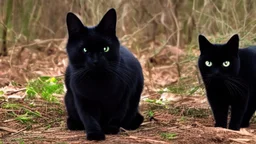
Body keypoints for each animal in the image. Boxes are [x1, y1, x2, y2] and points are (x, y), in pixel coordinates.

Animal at [63, 8, 144, 141]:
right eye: (85, 50)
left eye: (105, 49)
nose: (95, 61)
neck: (98, 84)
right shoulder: (82, 99)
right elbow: (89, 118)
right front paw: (95, 134)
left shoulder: (123, 96)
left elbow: (117, 114)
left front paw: (110, 129)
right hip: (68, 98)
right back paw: (74, 124)